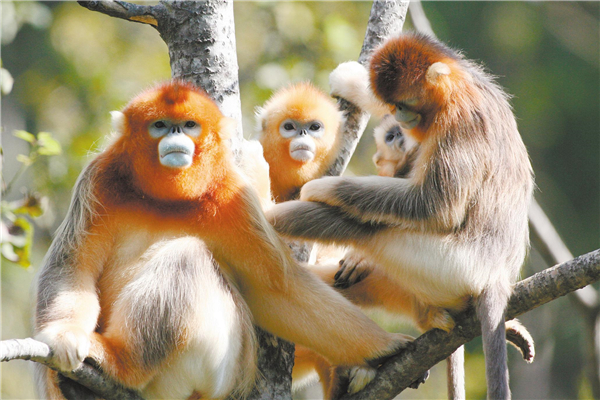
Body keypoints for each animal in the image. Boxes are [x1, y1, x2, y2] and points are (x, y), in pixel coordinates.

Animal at [34, 79, 412, 398]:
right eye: (160, 125)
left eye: (189, 125)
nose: (175, 136)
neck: (167, 200)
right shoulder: (100, 179)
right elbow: (73, 266)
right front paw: (65, 337)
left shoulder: (232, 195)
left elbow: (279, 289)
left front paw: (384, 347)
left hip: (219, 370)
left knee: (187, 256)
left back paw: (122, 364)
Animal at [268, 34, 536, 400]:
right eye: (393, 104)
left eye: (406, 103)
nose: (399, 116)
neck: (461, 85)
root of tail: (498, 277)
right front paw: (352, 81)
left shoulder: (459, 119)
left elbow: (437, 206)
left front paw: (322, 187)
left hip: (450, 267)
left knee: (364, 228)